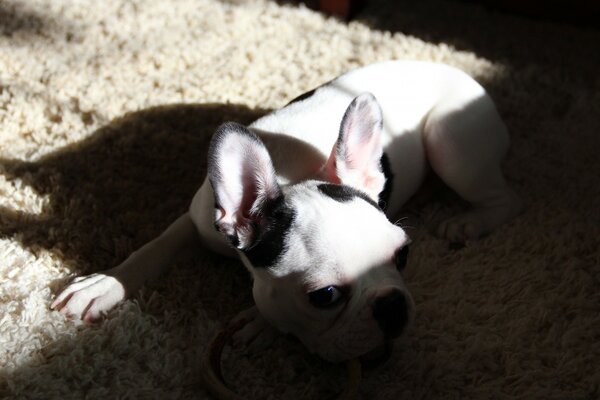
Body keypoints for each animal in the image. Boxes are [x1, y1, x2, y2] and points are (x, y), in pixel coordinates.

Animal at [50, 60, 520, 362]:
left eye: (404, 255)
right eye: (325, 296)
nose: (393, 306)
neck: (291, 175)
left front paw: (259, 321)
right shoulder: (199, 220)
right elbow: (154, 247)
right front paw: (103, 283)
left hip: (450, 142)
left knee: (502, 199)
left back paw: (468, 222)